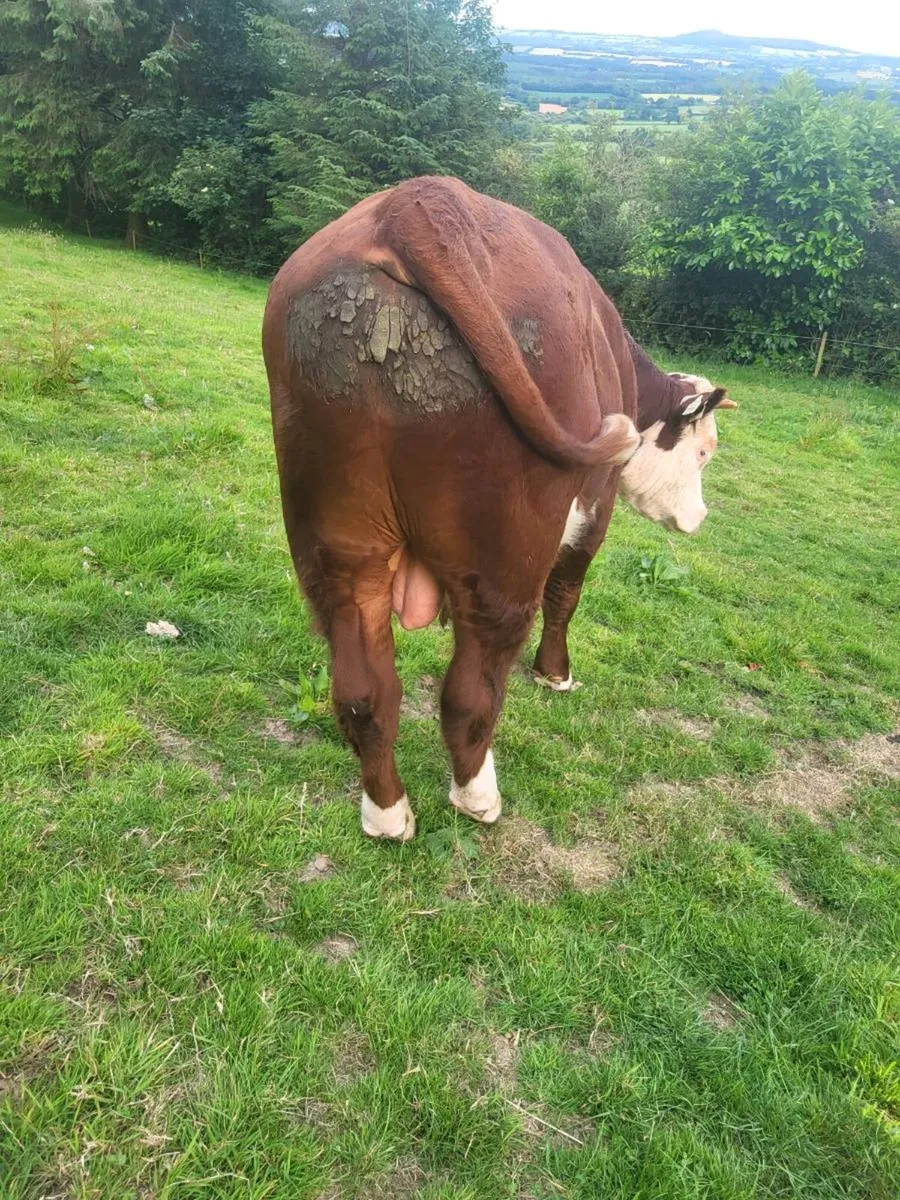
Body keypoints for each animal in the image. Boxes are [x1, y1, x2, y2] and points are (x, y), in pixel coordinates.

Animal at [262, 176, 735, 842]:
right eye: (703, 451)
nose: (700, 518)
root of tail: (417, 206)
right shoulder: (596, 504)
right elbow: (568, 593)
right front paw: (555, 673)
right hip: (510, 544)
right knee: (475, 682)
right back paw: (476, 795)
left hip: (337, 540)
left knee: (362, 688)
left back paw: (387, 814)